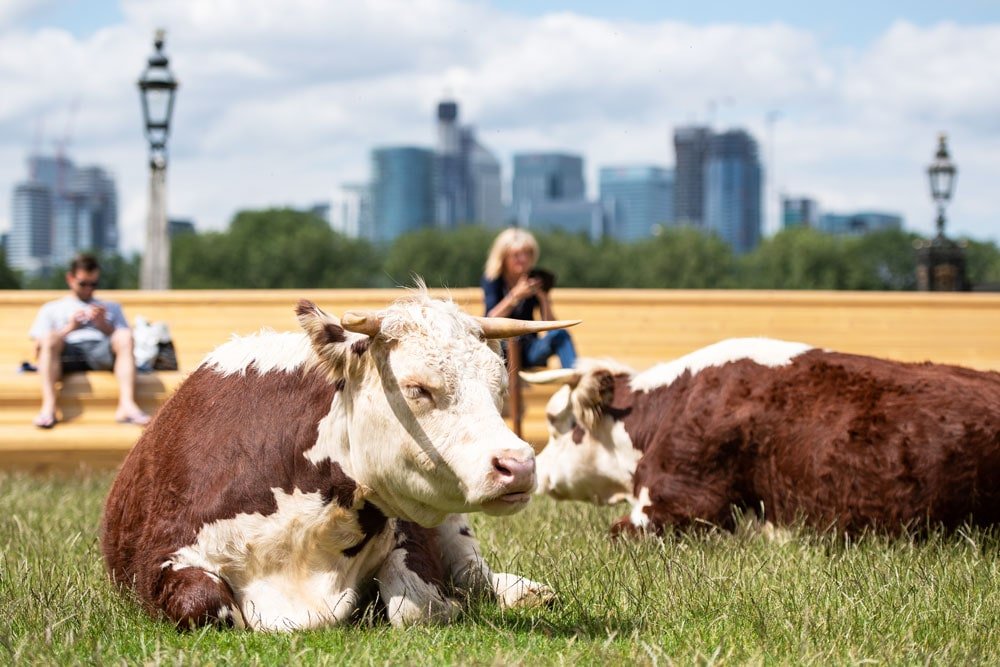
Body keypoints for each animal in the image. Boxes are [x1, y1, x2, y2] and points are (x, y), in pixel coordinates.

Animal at [101, 292, 580, 632]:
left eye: (499, 388)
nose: (519, 464)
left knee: (473, 571)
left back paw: (521, 591)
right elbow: (203, 604)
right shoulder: (163, 558)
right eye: (418, 388)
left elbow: (416, 606)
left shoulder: (411, 534)